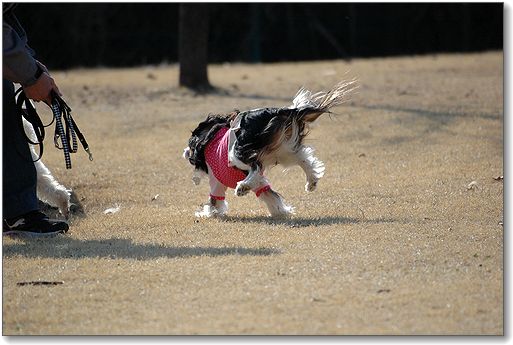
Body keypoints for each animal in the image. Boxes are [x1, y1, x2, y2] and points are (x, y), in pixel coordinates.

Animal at [183, 80, 356, 218]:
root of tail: (280, 111)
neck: (210, 138)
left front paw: (207, 213)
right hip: (282, 149)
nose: (186, 152)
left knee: (256, 165)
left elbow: (214, 201)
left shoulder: (216, 182)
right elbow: (269, 194)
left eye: (191, 144)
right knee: (303, 158)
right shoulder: (261, 182)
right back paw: (311, 182)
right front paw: (281, 212)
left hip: (238, 152)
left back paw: (242, 187)